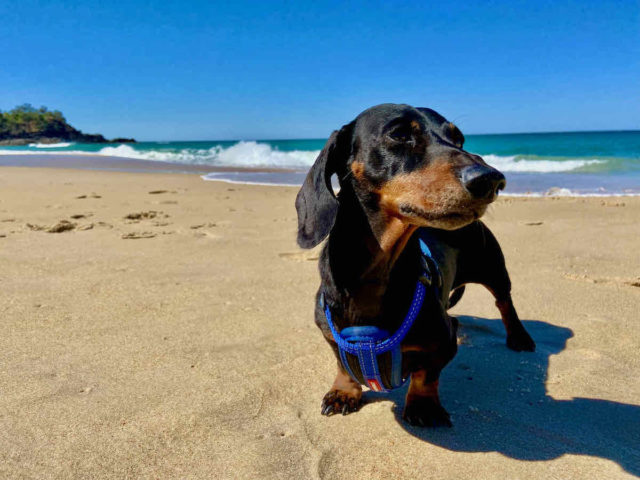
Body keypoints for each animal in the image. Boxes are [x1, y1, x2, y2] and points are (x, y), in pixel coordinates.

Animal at [298, 103, 536, 426]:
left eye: (458, 138)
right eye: (399, 134)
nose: (492, 179)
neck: (377, 271)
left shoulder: (445, 339)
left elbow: (427, 373)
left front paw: (423, 405)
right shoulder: (329, 333)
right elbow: (341, 363)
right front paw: (344, 391)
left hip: (494, 268)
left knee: (504, 302)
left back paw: (519, 336)